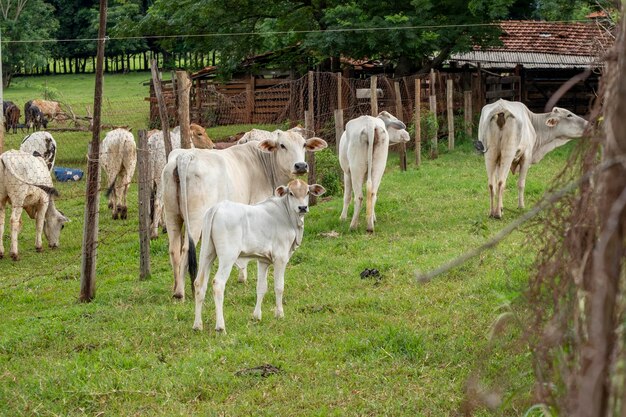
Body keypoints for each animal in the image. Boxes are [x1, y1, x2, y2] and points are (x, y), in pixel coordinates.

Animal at [161, 128, 326, 298]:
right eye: (282, 145)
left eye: (304, 144)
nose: (301, 165)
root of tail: (185, 156)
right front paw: (243, 276)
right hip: (196, 219)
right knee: (186, 249)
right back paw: (181, 292)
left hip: (172, 215)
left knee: (174, 249)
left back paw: (175, 288)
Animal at [191, 178, 324, 332]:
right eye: (291, 193)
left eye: (307, 192)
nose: (302, 207)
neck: (288, 217)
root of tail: (217, 207)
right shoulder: (280, 258)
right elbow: (279, 286)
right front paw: (279, 314)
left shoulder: (263, 261)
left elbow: (261, 287)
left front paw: (256, 316)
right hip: (227, 256)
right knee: (218, 283)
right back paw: (220, 326)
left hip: (207, 253)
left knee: (199, 283)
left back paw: (197, 325)